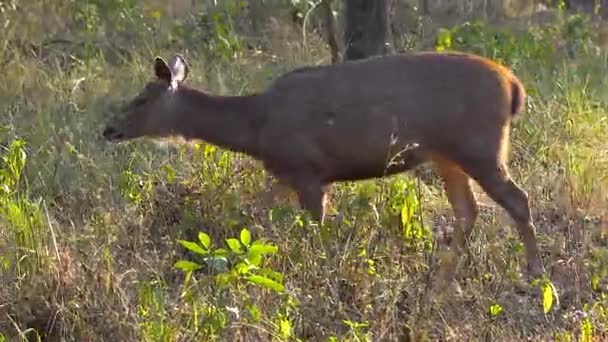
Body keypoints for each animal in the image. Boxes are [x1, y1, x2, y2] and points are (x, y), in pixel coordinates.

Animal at [103, 50, 548, 286]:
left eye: (141, 99)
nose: (108, 128)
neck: (255, 127)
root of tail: (514, 87)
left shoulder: (308, 170)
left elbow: (315, 229)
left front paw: (318, 272)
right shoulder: (285, 173)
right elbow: (250, 213)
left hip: (480, 147)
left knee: (517, 199)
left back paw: (535, 274)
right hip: (446, 155)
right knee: (468, 210)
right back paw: (443, 276)